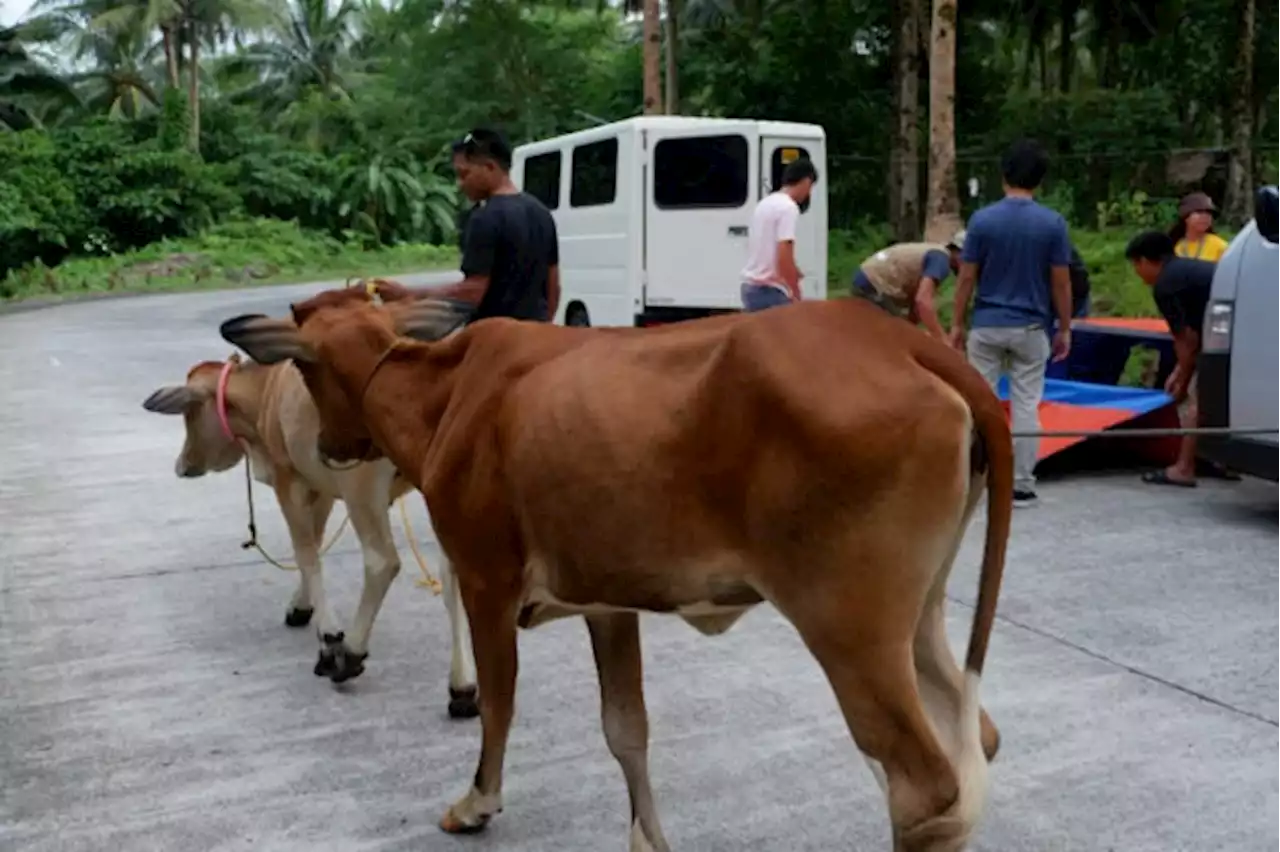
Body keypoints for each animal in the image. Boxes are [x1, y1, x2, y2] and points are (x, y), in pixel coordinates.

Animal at [141, 350, 481, 716]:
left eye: (189, 414)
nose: (181, 465)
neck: (265, 391)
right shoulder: (321, 488)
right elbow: (315, 544)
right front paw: (301, 607)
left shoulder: (290, 482)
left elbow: (305, 552)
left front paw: (329, 636)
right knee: (454, 572)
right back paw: (462, 686)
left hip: (361, 487)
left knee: (382, 563)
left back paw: (349, 656)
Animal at [222, 285, 1018, 849]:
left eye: (301, 364)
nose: (330, 447)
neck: (444, 395)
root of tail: (906, 343)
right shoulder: (606, 602)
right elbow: (625, 730)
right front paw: (646, 838)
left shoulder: (486, 580)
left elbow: (499, 703)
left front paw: (477, 802)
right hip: (918, 617)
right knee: (974, 737)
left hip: (848, 625)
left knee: (922, 787)